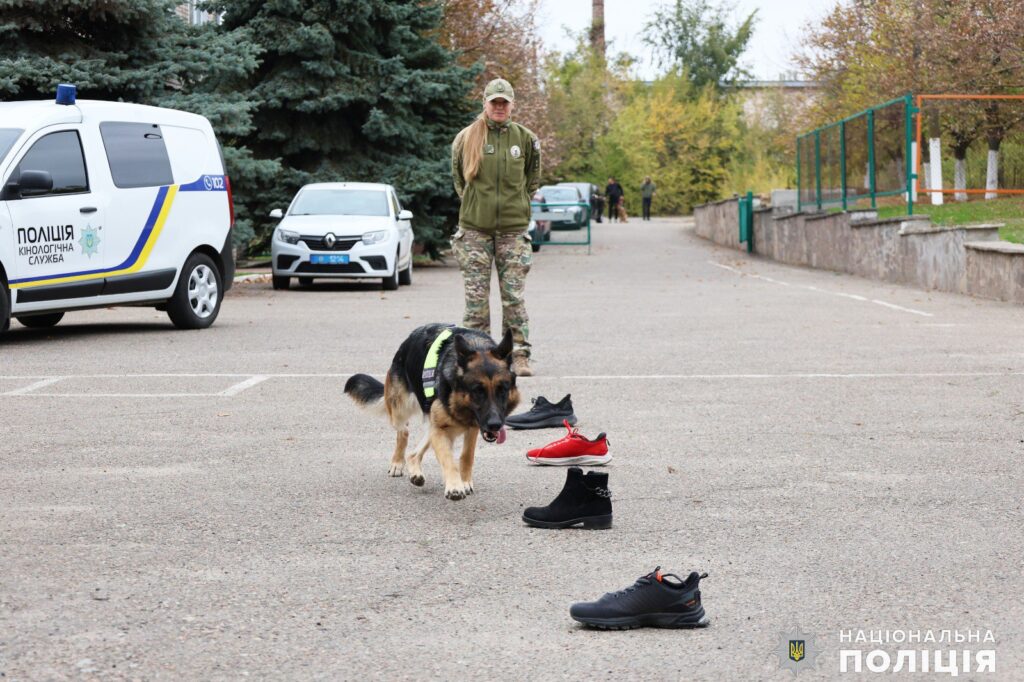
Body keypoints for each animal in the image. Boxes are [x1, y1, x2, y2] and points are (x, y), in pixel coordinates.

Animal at [346, 323, 520, 499]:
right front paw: (454, 486)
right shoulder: (441, 430)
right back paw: (397, 462)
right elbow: (448, 459)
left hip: (431, 423)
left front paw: (464, 481)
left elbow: (466, 455)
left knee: (413, 453)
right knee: (403, 432)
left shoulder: (472, 426)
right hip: (400, 411)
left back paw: (415, 471)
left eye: (503, 390)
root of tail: (407, 341)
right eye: (478, 391)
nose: (495, 424)